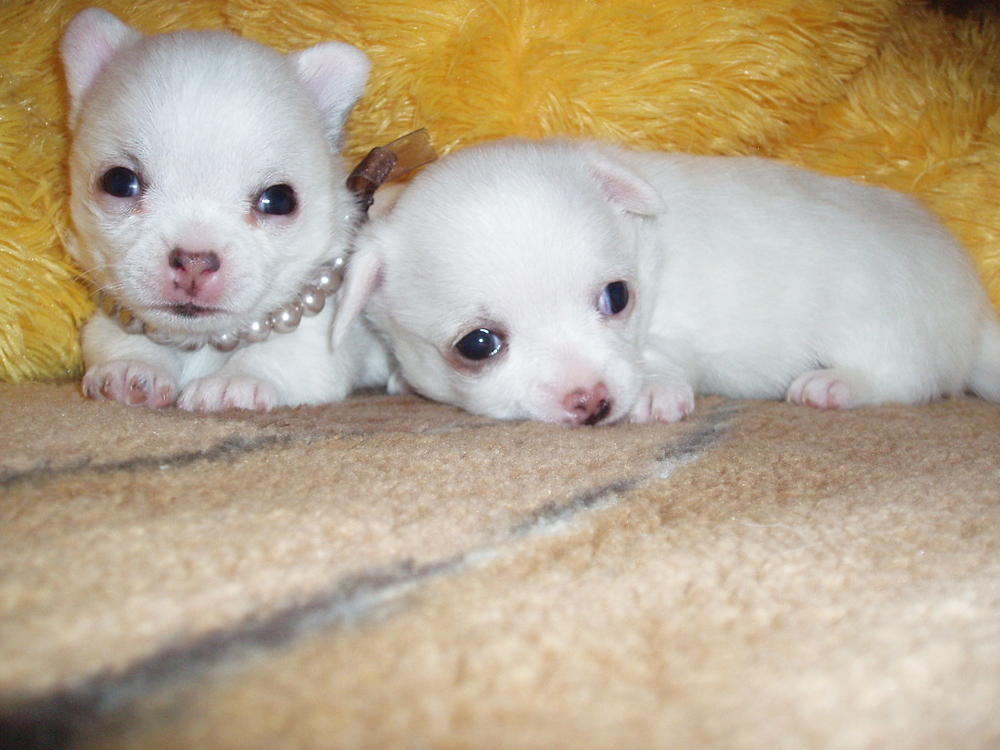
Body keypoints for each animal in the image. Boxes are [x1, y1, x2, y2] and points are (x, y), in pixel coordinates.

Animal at [62, 8, 388, 411]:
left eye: (279, 200)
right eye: (119, 182)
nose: (194, 261)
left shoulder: (318, 343)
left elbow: (277, 355)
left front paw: (235, 381)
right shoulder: (112, 322)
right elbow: (122, 339)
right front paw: (130, 368)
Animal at [332, 138, 1000, 425]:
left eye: (616, 297)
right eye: (477, 345)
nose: (593, 402)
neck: (646, 246)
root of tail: (976, 314)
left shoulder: (668, 330)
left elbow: (658, 355)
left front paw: (655, 390)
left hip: (881, 326)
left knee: (907, 380)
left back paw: (833, 383)